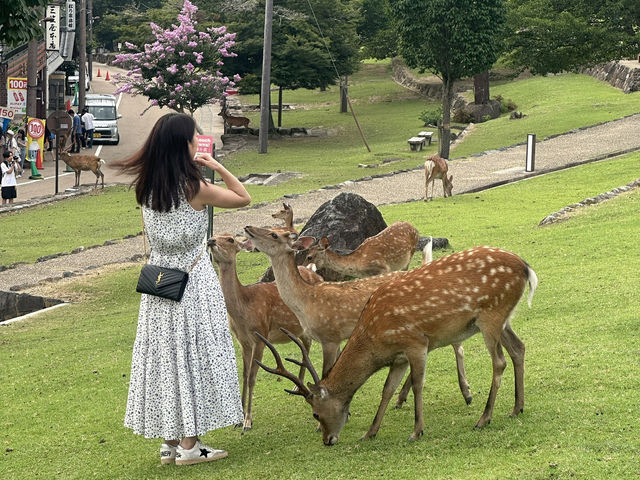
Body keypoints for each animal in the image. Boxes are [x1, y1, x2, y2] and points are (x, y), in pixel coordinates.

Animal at [208, 232, 322, 432]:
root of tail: (315, 272)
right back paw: (296, 387)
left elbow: (252, 378)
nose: (210, 241)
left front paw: (248, 421)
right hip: (299, 328)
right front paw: (238, 420)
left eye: (230, 239)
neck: (243, 308)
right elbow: (244, 376)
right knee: (305, 344)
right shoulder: (242, 341)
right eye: (214, 235)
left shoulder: (260, 336)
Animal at [255, 248, 536, 446]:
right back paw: (517, 408)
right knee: (519, 348)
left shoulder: (415, 342)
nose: (327, 440)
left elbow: (418, 384)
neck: (375, 339)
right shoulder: (398, 357)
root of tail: (526, 268)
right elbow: (387, 389)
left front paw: (416, 430)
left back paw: (484, 418)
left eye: (315, 414)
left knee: (499, 361)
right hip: (503, 318)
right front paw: (369, 432)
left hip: (491, 315)